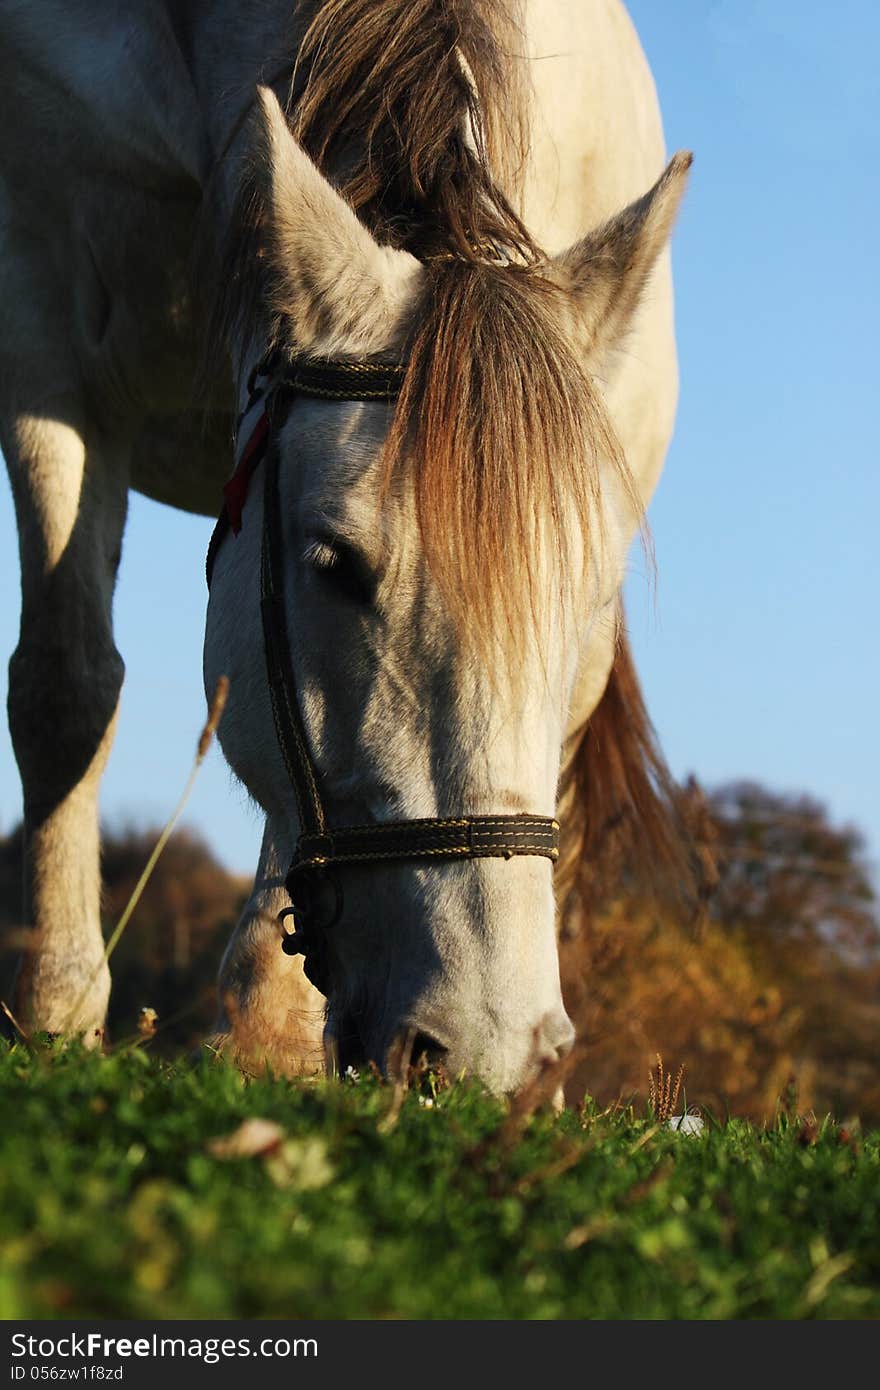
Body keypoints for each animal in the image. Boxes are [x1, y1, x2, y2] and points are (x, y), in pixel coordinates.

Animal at [0, 0, 689, 1089]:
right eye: (336, 566)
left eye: (585, 608)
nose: (488, 1050)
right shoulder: (44, 341)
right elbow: (65, 688)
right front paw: (54, 1008)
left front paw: (264, 1035)